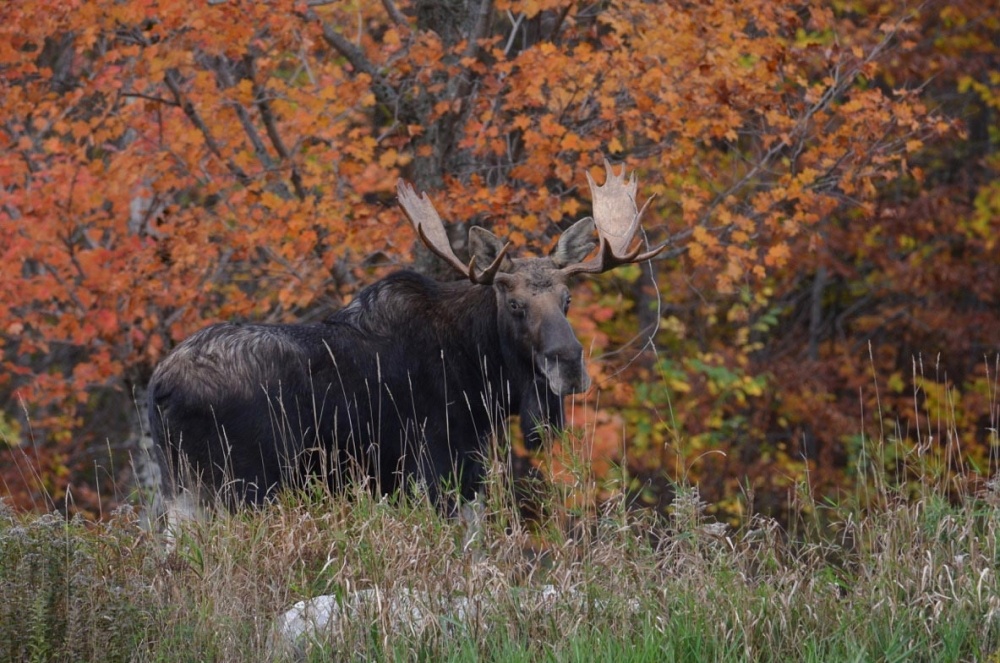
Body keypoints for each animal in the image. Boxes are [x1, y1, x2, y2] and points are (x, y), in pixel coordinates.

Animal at [148, 161, 664, 508]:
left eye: (567, 300)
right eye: (516, 305)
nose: (570, 363)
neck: (483, 377)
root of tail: (159, 389)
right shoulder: (438, 465)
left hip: (181, 491)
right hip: (244, 485)